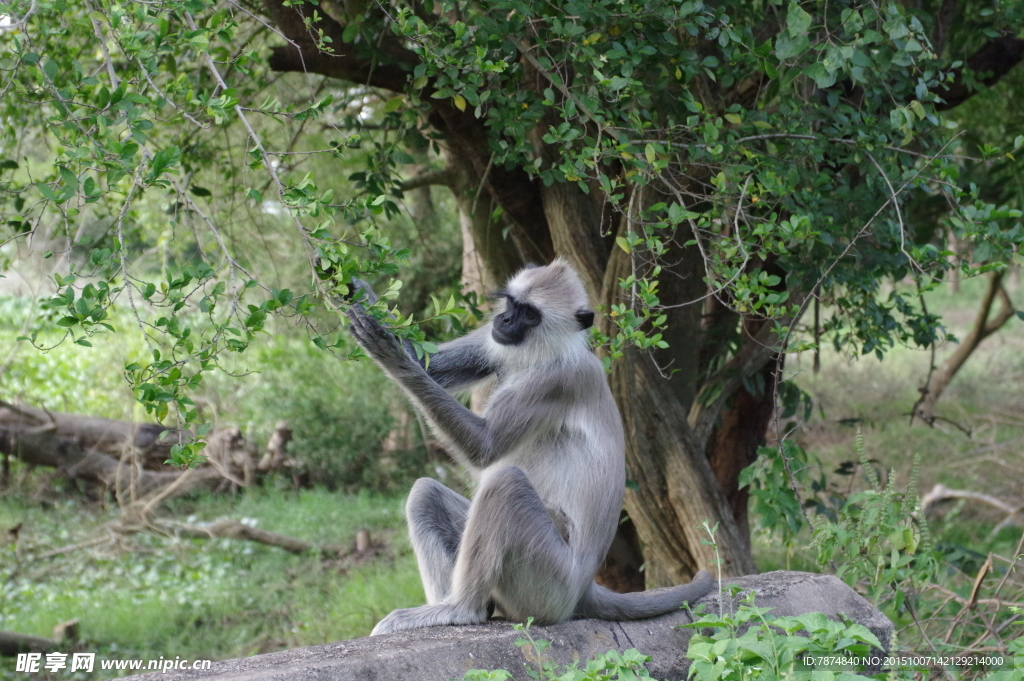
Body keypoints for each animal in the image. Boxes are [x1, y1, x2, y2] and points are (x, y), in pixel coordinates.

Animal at [344, 258, 712, 634]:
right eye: (511, 305)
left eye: (530, 315)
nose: (505, 320)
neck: (546, 352)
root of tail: (584, 588)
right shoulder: (496, 340)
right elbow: (427, 363)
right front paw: (356, 292)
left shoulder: (557, 380)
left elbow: (485, 447)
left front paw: (388, 351)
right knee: (427, 493)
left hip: (548, 580)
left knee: (506, 485)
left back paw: (461, 610)